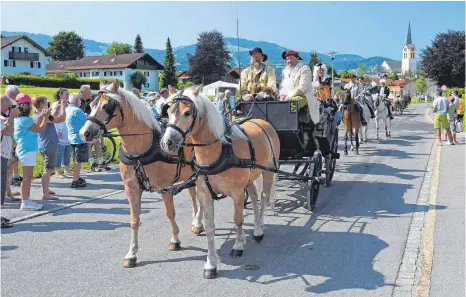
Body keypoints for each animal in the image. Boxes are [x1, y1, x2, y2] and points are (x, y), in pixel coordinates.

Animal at [78, 81, 204, 268]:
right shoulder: (131, 189)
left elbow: (170, 213)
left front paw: (175, 240)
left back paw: (199, 222)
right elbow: (134, 220)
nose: (84, 133)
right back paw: (197, 222)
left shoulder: (165, 188)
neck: (142, 150)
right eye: (90, 105)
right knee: (194, 196)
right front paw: (131, 254)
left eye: (107, 106)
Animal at [160, 85, 280, 278]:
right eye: (169, 111)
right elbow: (210, 228)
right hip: (249, 178)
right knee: (254, 196)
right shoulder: (205, 194)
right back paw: (256, 225)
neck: (219, 151)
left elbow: (238, 219)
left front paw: (238, 245)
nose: (167, 142)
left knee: (263, 197)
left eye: (187, 112)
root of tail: (263, 122)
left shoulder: (237, 193)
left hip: (268, 171)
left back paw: (258, 230)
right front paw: (211, 264)